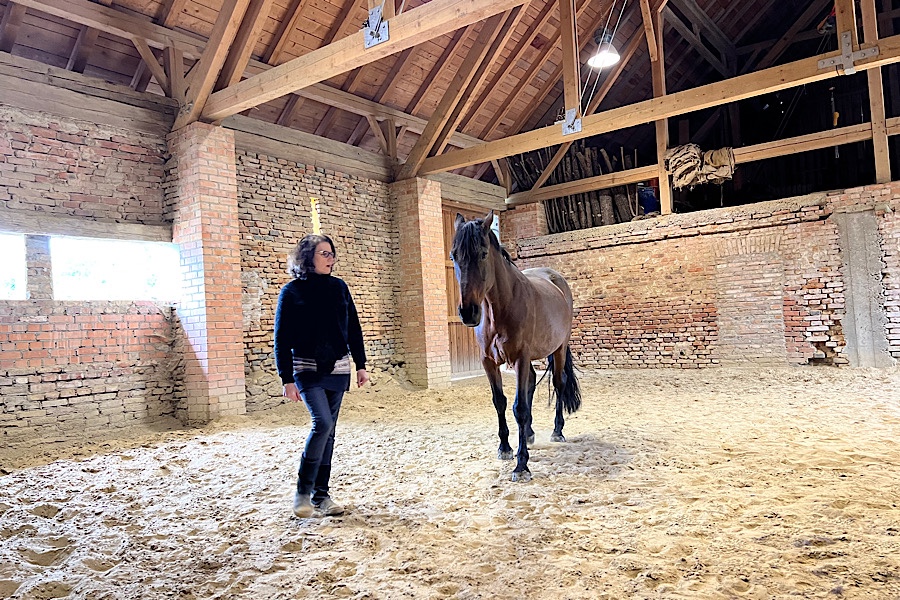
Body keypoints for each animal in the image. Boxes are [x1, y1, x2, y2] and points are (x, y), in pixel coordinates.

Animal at [450, 212, 584, 482]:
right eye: (453, 256)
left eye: (483, 253)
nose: (468, 312)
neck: (499, 308)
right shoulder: (489, 362)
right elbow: (500, 402)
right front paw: (505, 448)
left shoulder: (521, 358)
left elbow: (519, 408)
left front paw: (522, 465)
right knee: (531, 381)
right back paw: (530, 433)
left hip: (559, 349)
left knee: (559, 384)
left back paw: (557, 431)